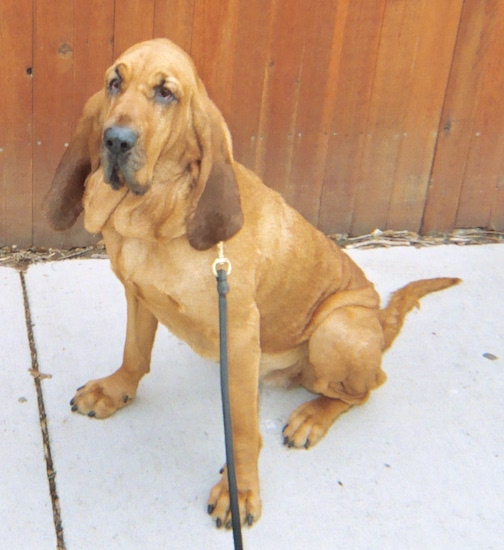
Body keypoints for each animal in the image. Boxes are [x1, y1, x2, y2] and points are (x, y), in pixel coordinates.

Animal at [44, 38, 460, 532]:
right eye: (114, 83)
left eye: (166, 93)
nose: (116, 140)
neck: (156, 215)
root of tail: (380, 323)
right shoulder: (137, 294)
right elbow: (134, 353)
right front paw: (115, 390)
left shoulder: (241, 332)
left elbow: (242, 429)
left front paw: (240, 491)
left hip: (335, 329)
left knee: (365, 386)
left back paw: (312, 415)